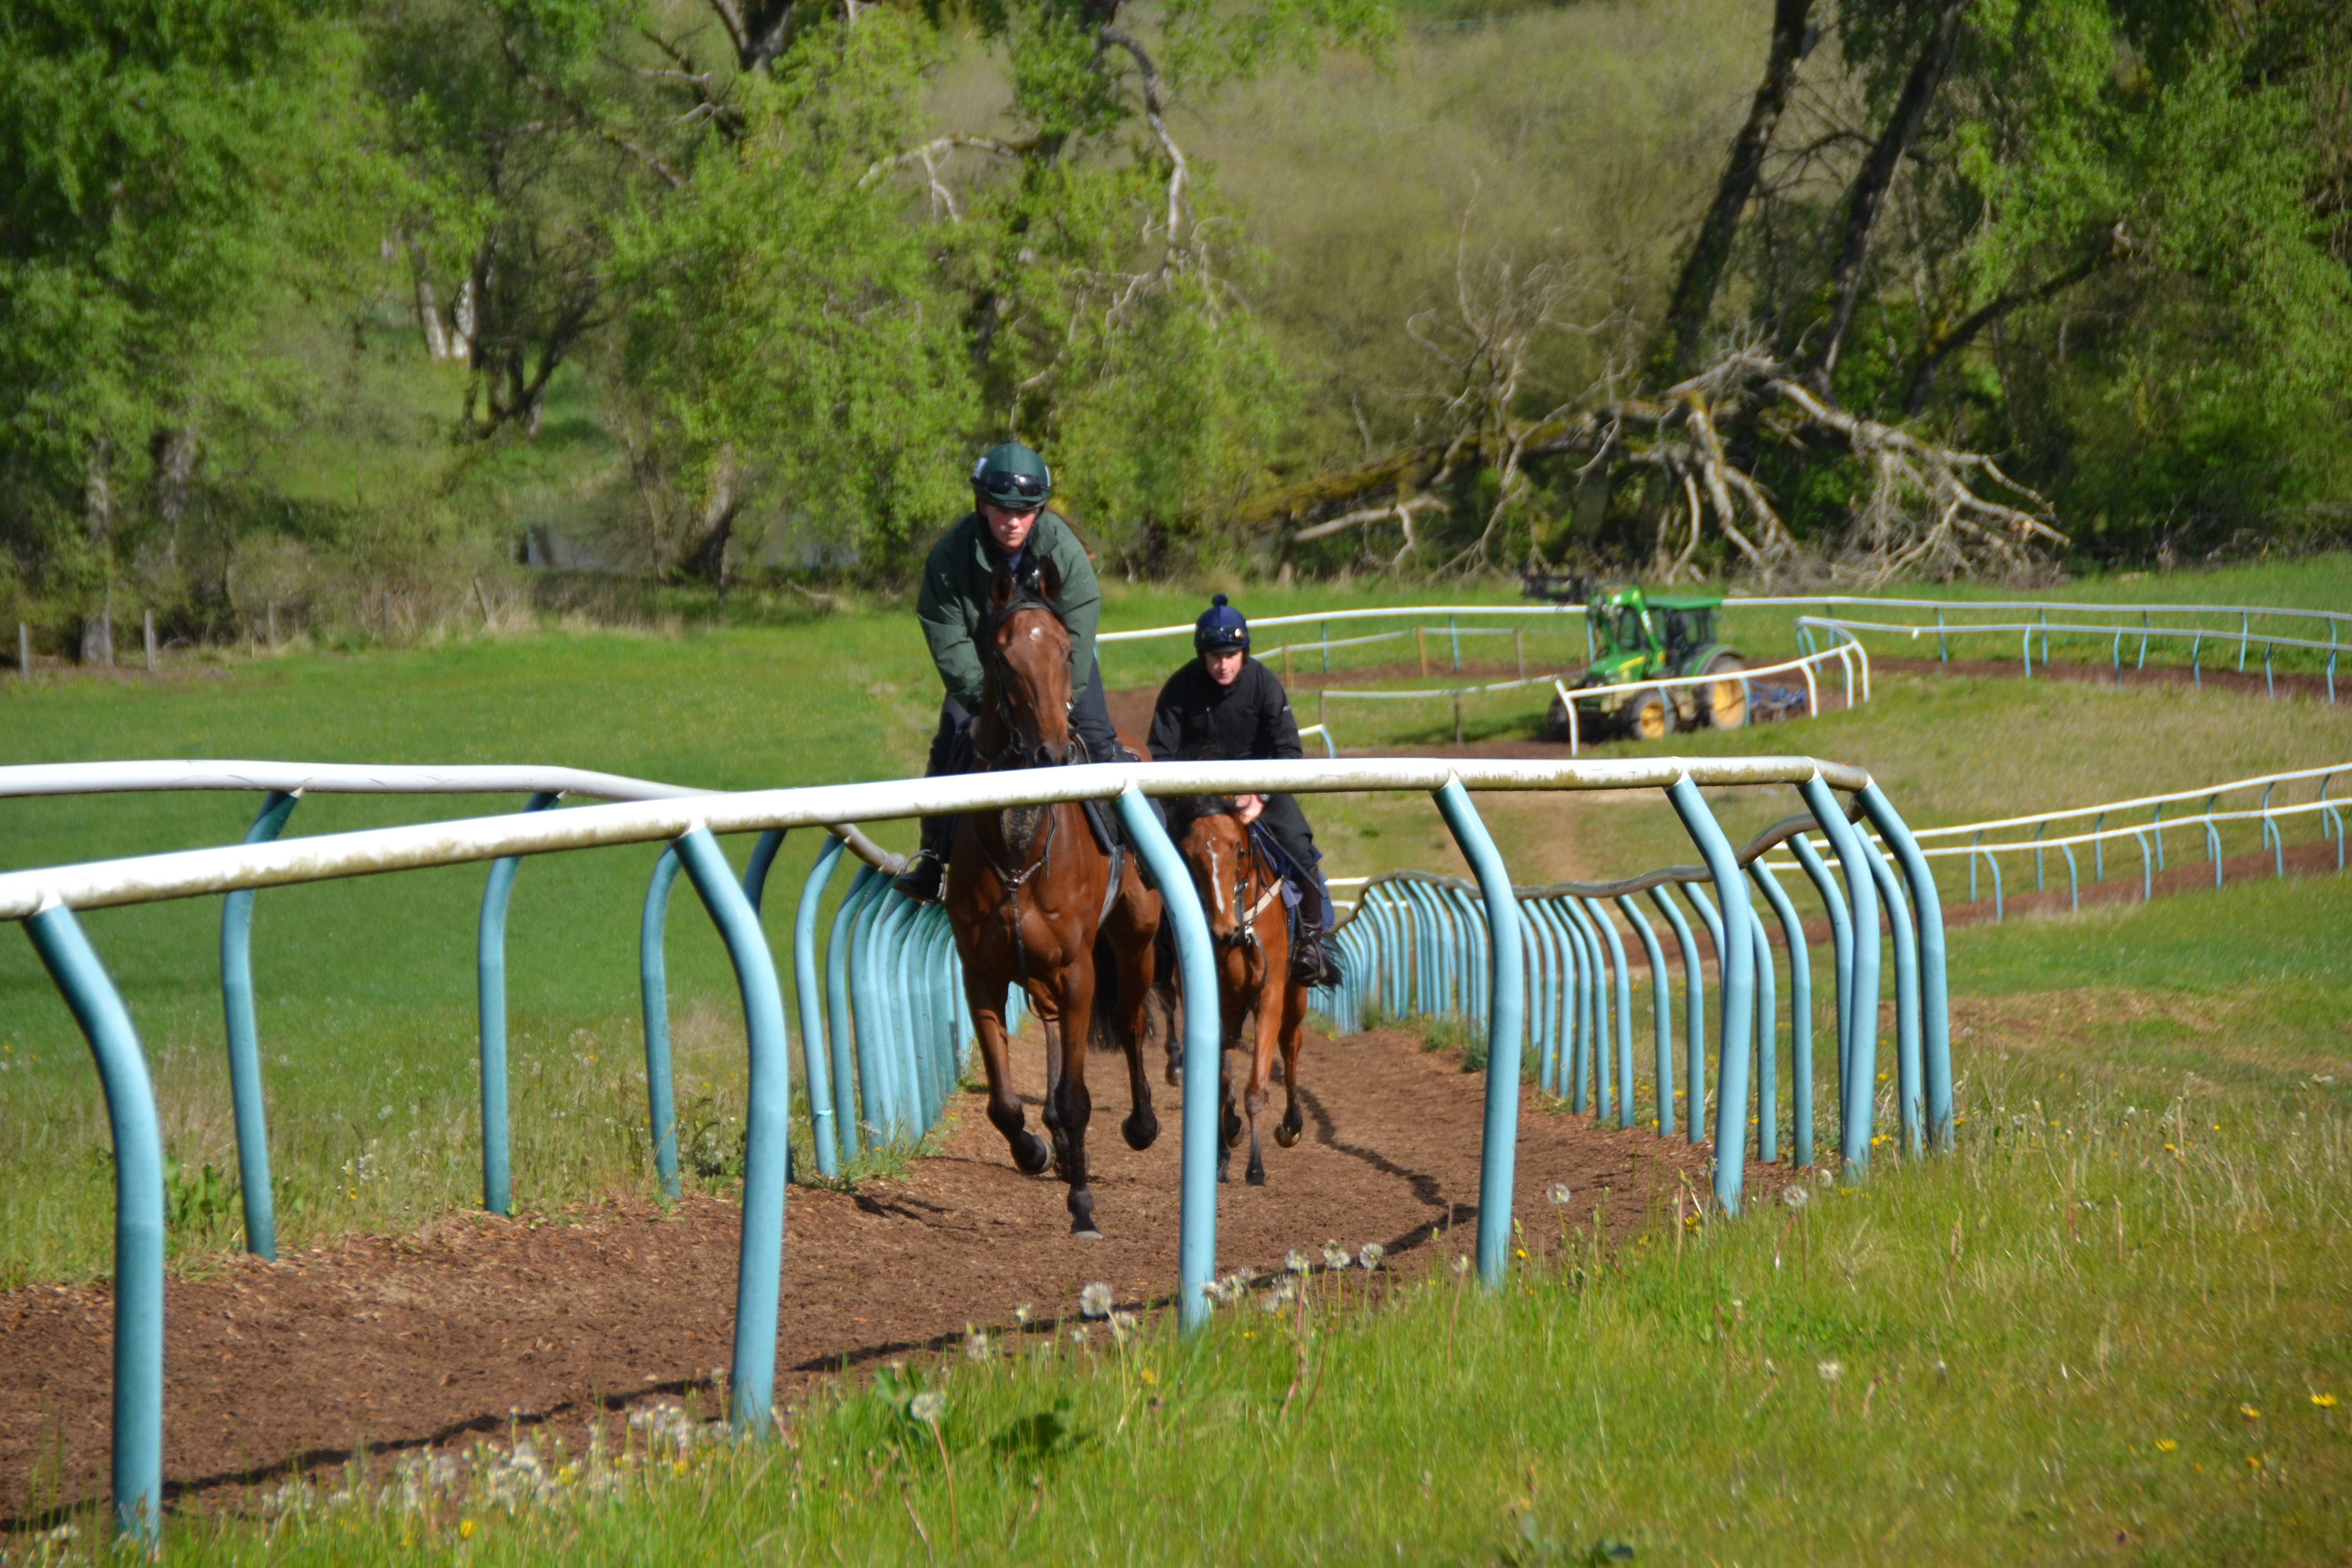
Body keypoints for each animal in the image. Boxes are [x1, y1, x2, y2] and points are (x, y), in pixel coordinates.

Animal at [945, 564, 1166, 1241]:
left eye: (1067, 651)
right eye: (1001, 656)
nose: (1050, 753)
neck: (1020, 848)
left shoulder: (1077, 971)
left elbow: (1075, 1098)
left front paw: (1083, 1205)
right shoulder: (982, 972)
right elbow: (1003, 1103)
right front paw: (1036, 1150)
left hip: (1136, 937)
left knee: (1132, 1020)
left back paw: (1141, 1125)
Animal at [1166, 790, 1317, 1185]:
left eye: (1239, 850)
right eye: (1189, 854)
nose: (1224, 932)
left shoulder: (1271, 995)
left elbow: (1256, 1089)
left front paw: (1256, 1167)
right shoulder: (1212, 1000)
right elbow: (1220, 1083)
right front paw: (1220, 1157)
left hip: (1294, 995)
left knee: (1291, 1043)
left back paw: (1291, 1126)